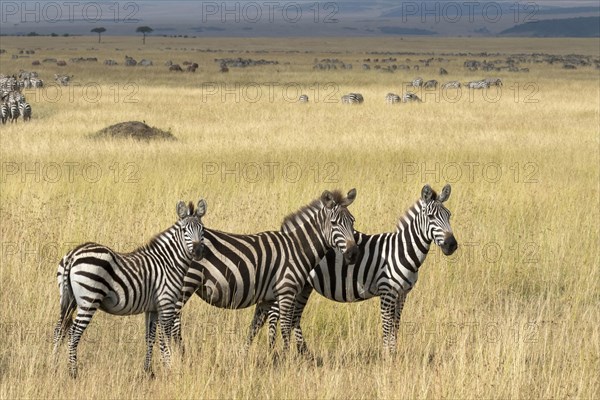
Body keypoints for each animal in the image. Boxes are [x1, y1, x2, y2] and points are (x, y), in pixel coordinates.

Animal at [54, 200, 209, 378]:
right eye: (184, 231)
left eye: (203, 230)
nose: (198, 252)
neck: (169, 262)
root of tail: (73, 254)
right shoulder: (166, 304)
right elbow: (164, 338)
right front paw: (169, 368)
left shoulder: (152, 308)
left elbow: (150, 338)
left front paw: (149, 372)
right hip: (89, 299)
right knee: (73, 334)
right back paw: (73, 373)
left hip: (68, 299)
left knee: (59, 330)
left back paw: (53, 366)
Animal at [175, 189, 360, 358]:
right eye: (334, 223)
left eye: (353, 221)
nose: (353, 254)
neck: (296, 249)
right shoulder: (286, 291)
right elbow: (285, 326)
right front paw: (285, 360)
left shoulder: (267, 297)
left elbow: (255, 327)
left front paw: (248, 358)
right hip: (186, 284)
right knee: (174, 319)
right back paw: (180, 354)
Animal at [255, 184, 458, 354]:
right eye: (431, 217)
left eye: (449, 215)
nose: (452, 245)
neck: (401, 251)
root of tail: (288, 232)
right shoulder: (387, 291)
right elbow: (387, 326)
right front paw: (388, 356)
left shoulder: (402, 294)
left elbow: (396, 325)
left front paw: (393, 354)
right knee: (274, 315)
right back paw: (273, 351)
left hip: (305, 286)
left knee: (294, 318)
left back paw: (304, 354)